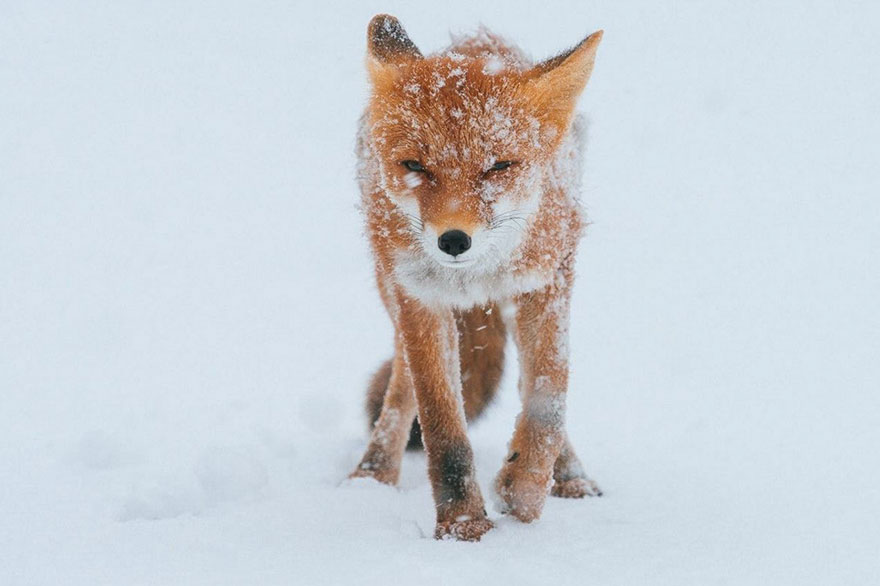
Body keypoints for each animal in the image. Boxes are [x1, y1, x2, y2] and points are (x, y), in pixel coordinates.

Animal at [351, 14, 604, 541]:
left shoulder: (545, 282)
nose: (453, 241)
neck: (478, 276)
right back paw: (372, 474)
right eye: (415, 166)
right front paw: (463, 525)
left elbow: (547, 403)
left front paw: (523, 490)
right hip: (393, 291)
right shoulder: (420, 297)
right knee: (401, 388)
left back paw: (570, 476)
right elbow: (444, 430)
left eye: (498, 166)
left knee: (531, 384)